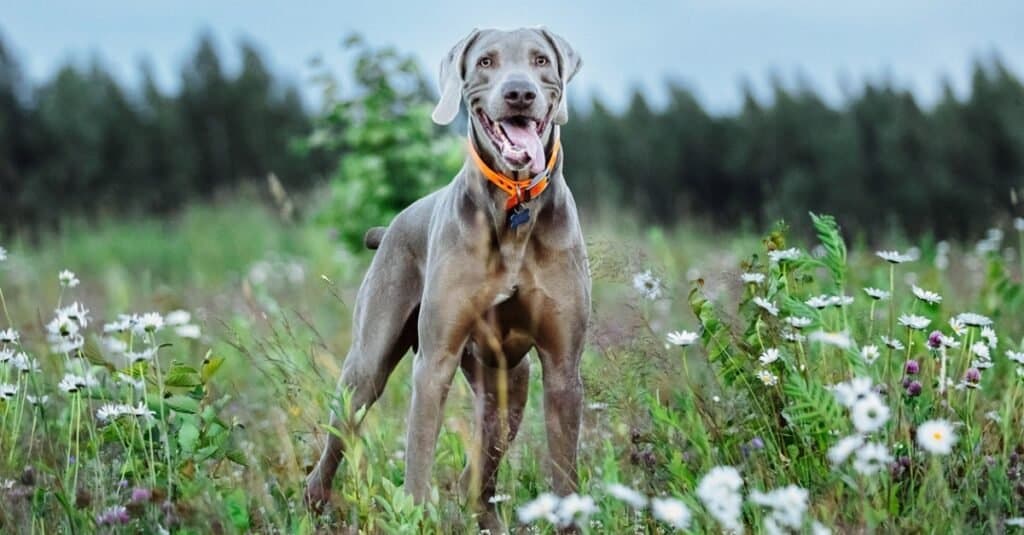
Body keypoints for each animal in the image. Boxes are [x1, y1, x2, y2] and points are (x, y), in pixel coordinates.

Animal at [305, 26, 593, 528]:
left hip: (508, 386)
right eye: (485, 62)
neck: (514, 209)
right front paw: (415, 517)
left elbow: (564, 476)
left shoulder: (562, 368)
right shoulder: (435, 360)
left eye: (540, 60)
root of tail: (390, 227)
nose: (519, 93)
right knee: (336, 441)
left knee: (478, 477)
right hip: (366, 365)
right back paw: (314, 505)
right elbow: (418, 462)